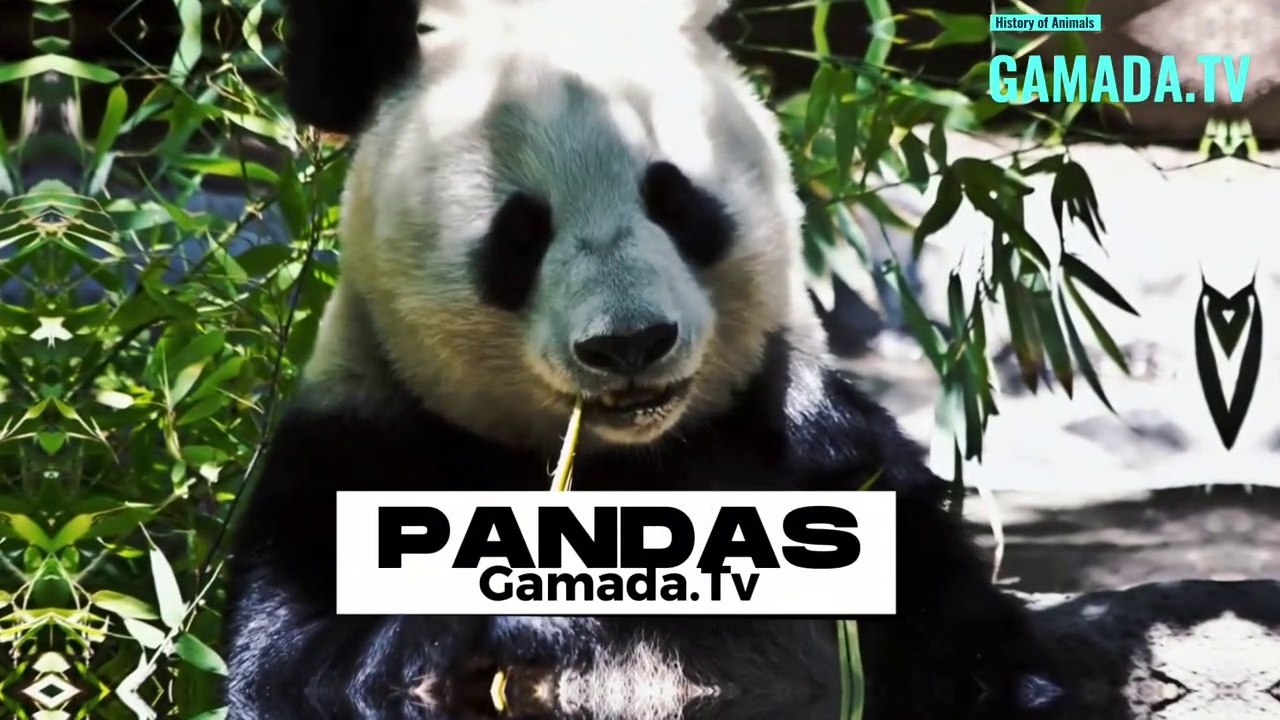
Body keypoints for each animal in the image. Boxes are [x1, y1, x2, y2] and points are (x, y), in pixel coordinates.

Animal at [223, 1, 1067, 719]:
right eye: (521, 234)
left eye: (675, 201)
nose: (629, 343)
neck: (632, 464)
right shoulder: (353, 454)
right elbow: (301, 667)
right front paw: (542, 616)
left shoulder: (827, 460)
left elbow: (976, 650)